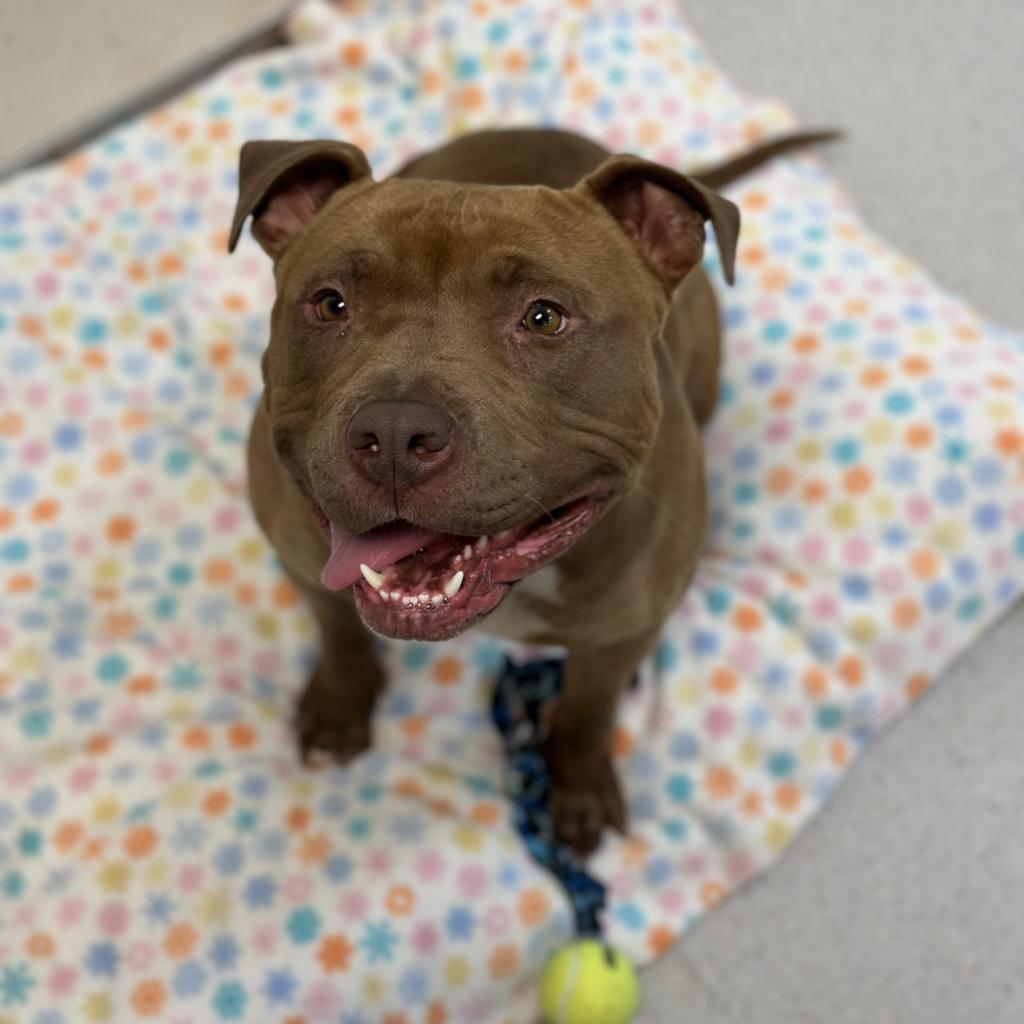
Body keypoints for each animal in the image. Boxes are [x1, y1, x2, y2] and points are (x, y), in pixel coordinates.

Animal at [228, 128, 827, 856]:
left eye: (544, 318)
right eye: (331, 303)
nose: (395, 431)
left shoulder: (623, 631)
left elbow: (587, 711)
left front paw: (578, 788)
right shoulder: (300, 559)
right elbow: (339, 629)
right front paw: (340, 704)